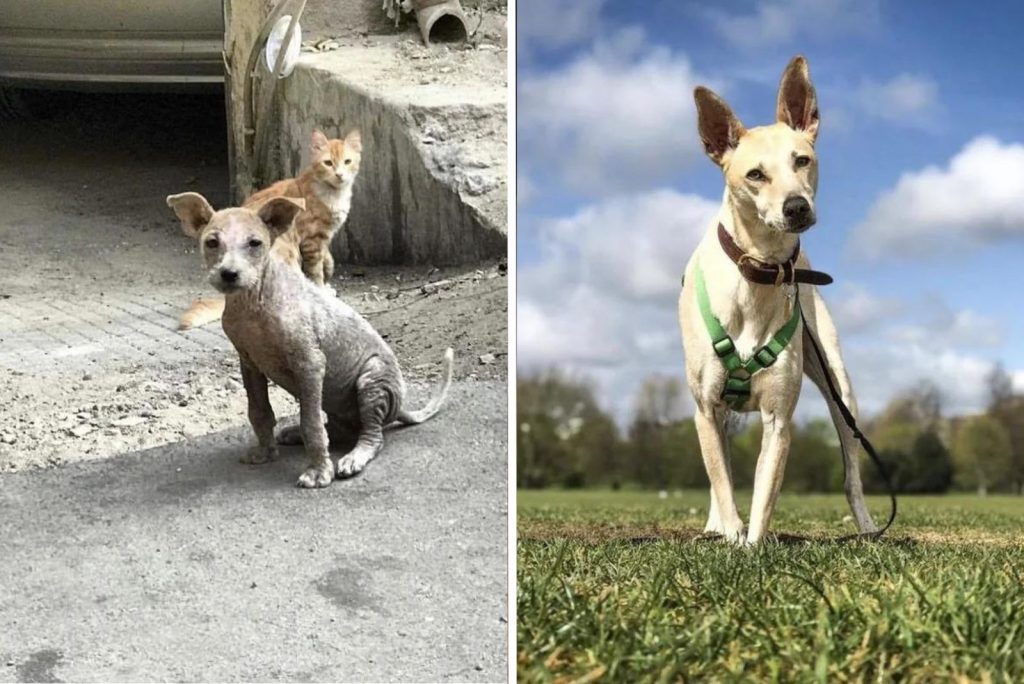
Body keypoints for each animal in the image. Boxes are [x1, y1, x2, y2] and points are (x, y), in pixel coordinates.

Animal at [164, 191, 452, 485]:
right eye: (212, 242)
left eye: (255, 243)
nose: (229, 274)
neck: (254, 303)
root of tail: (399, 405)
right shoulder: (249, 363)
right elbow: (259, 411)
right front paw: (266, 452)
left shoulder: (310, 363)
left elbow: (311, 422)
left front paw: (318, 471)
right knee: (338, 430)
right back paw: (295, 434)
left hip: (373, 380)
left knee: (372, 435)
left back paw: (354, 457)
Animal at [178, 131, 362, 331]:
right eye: (328, 163)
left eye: (347, 161)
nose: (339, 175)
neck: (332, 192)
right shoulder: (311, 240)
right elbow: (316, 270)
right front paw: (322, 289)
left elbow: (327, 261)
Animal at [679, 54, 872, 544]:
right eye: (755, 174)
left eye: (802, 160)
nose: (796, 207)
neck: (760, 272)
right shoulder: (705, 409)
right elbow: (722, 481)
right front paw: (730, 535)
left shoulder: (779, 418)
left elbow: (765, 492)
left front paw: (753, 544)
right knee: (721, 474)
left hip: (839, 388)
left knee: (851, 473)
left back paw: (867, 528)